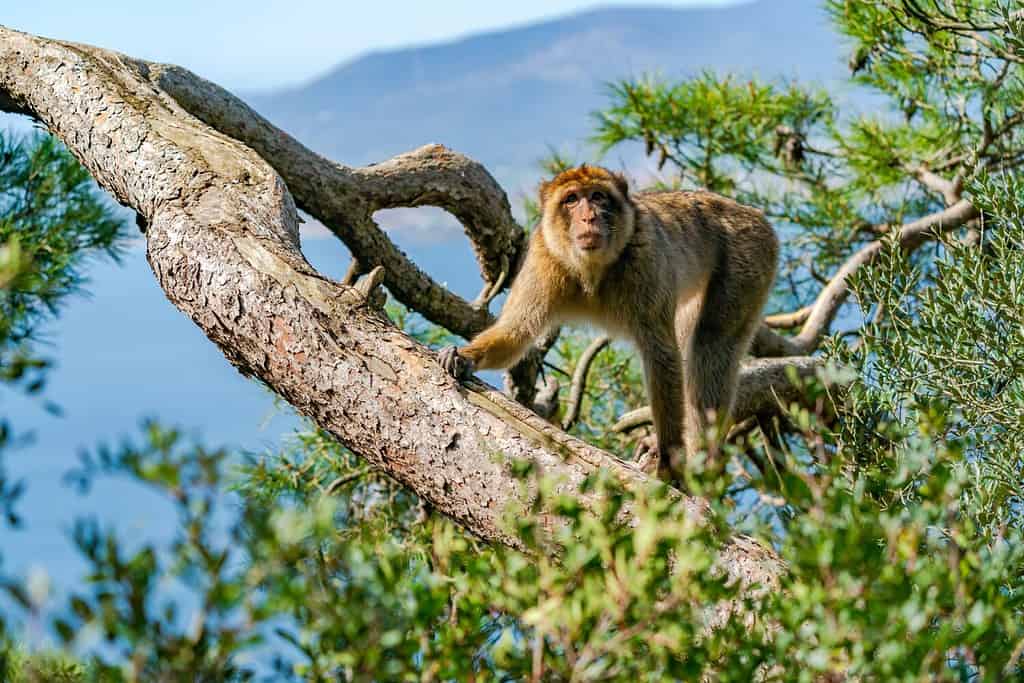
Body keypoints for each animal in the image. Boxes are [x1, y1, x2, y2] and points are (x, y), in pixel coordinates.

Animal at [439, 165, 778, 485]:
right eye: (571, 199)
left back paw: (704, 459)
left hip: (749, 257)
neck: (591, 270)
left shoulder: (646, 257)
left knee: (711, 345)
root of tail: (751, 213)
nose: (589, 217)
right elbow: (515, 332)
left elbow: (661, 355)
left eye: (598, 196)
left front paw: (669, 462)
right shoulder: (543, 259)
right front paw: (464, 357)